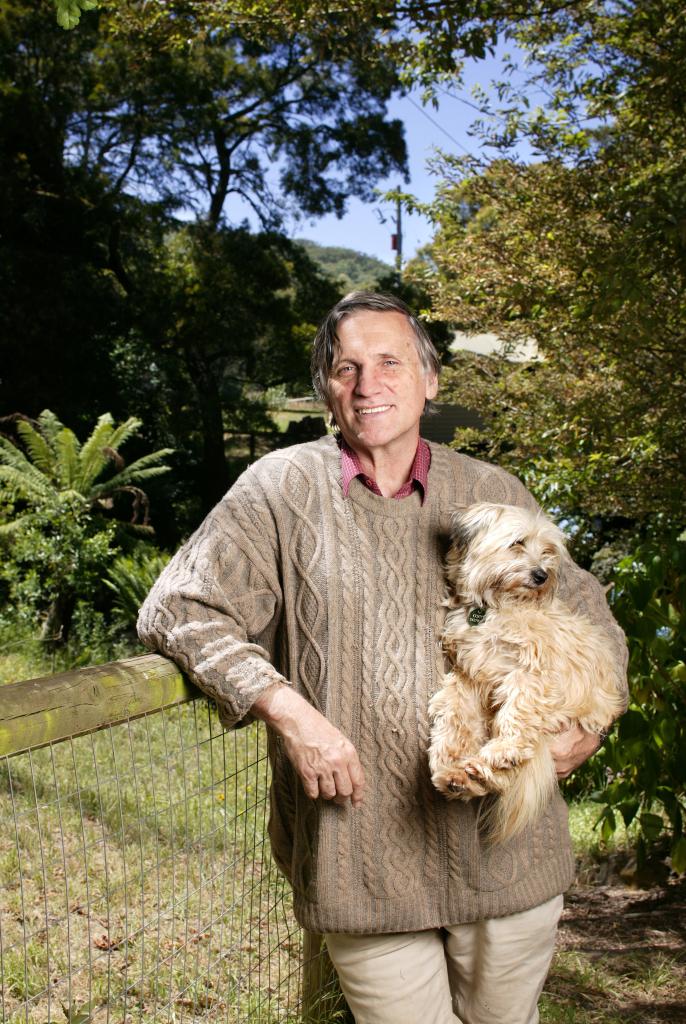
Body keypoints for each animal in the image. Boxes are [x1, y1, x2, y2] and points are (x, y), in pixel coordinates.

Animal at [432, 499, 626, 843]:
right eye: (517, 543)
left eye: (547, 550)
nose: (541, 575)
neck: (496, 606)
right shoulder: (470, 676)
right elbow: (455, 713)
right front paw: (446, 752)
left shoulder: (532, 673)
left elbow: (519, 712)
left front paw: (505, 747)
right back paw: (460, 776)